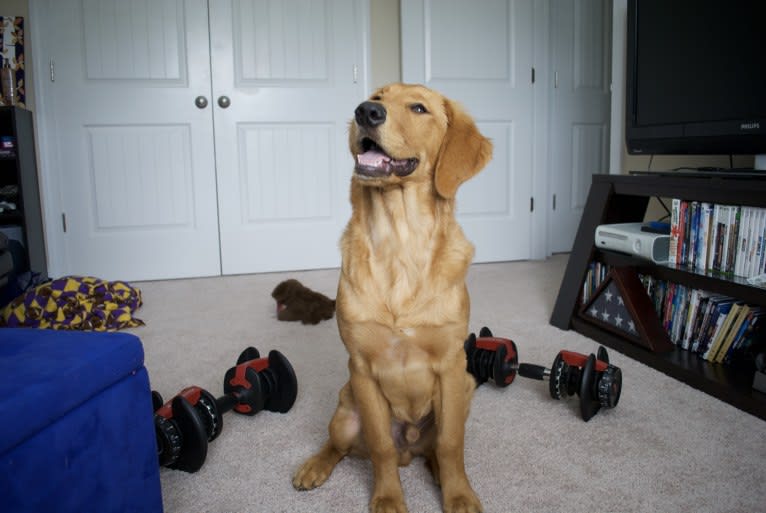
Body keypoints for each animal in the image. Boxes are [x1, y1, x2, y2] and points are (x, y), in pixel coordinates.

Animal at [294, 82, 492, 510]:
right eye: (377, 98)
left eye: (418, 108)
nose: (366, 112)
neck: (401, 242)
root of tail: (411, 447)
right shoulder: (363, 369)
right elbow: (381, 447)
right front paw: (387, 498)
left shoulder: (452, 365)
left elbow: (451, 444)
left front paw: (458, 494)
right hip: (345, 408)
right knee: (344, 446)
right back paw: (315, 465)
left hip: (466, 386)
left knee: (434, 448)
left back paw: (436, 469)